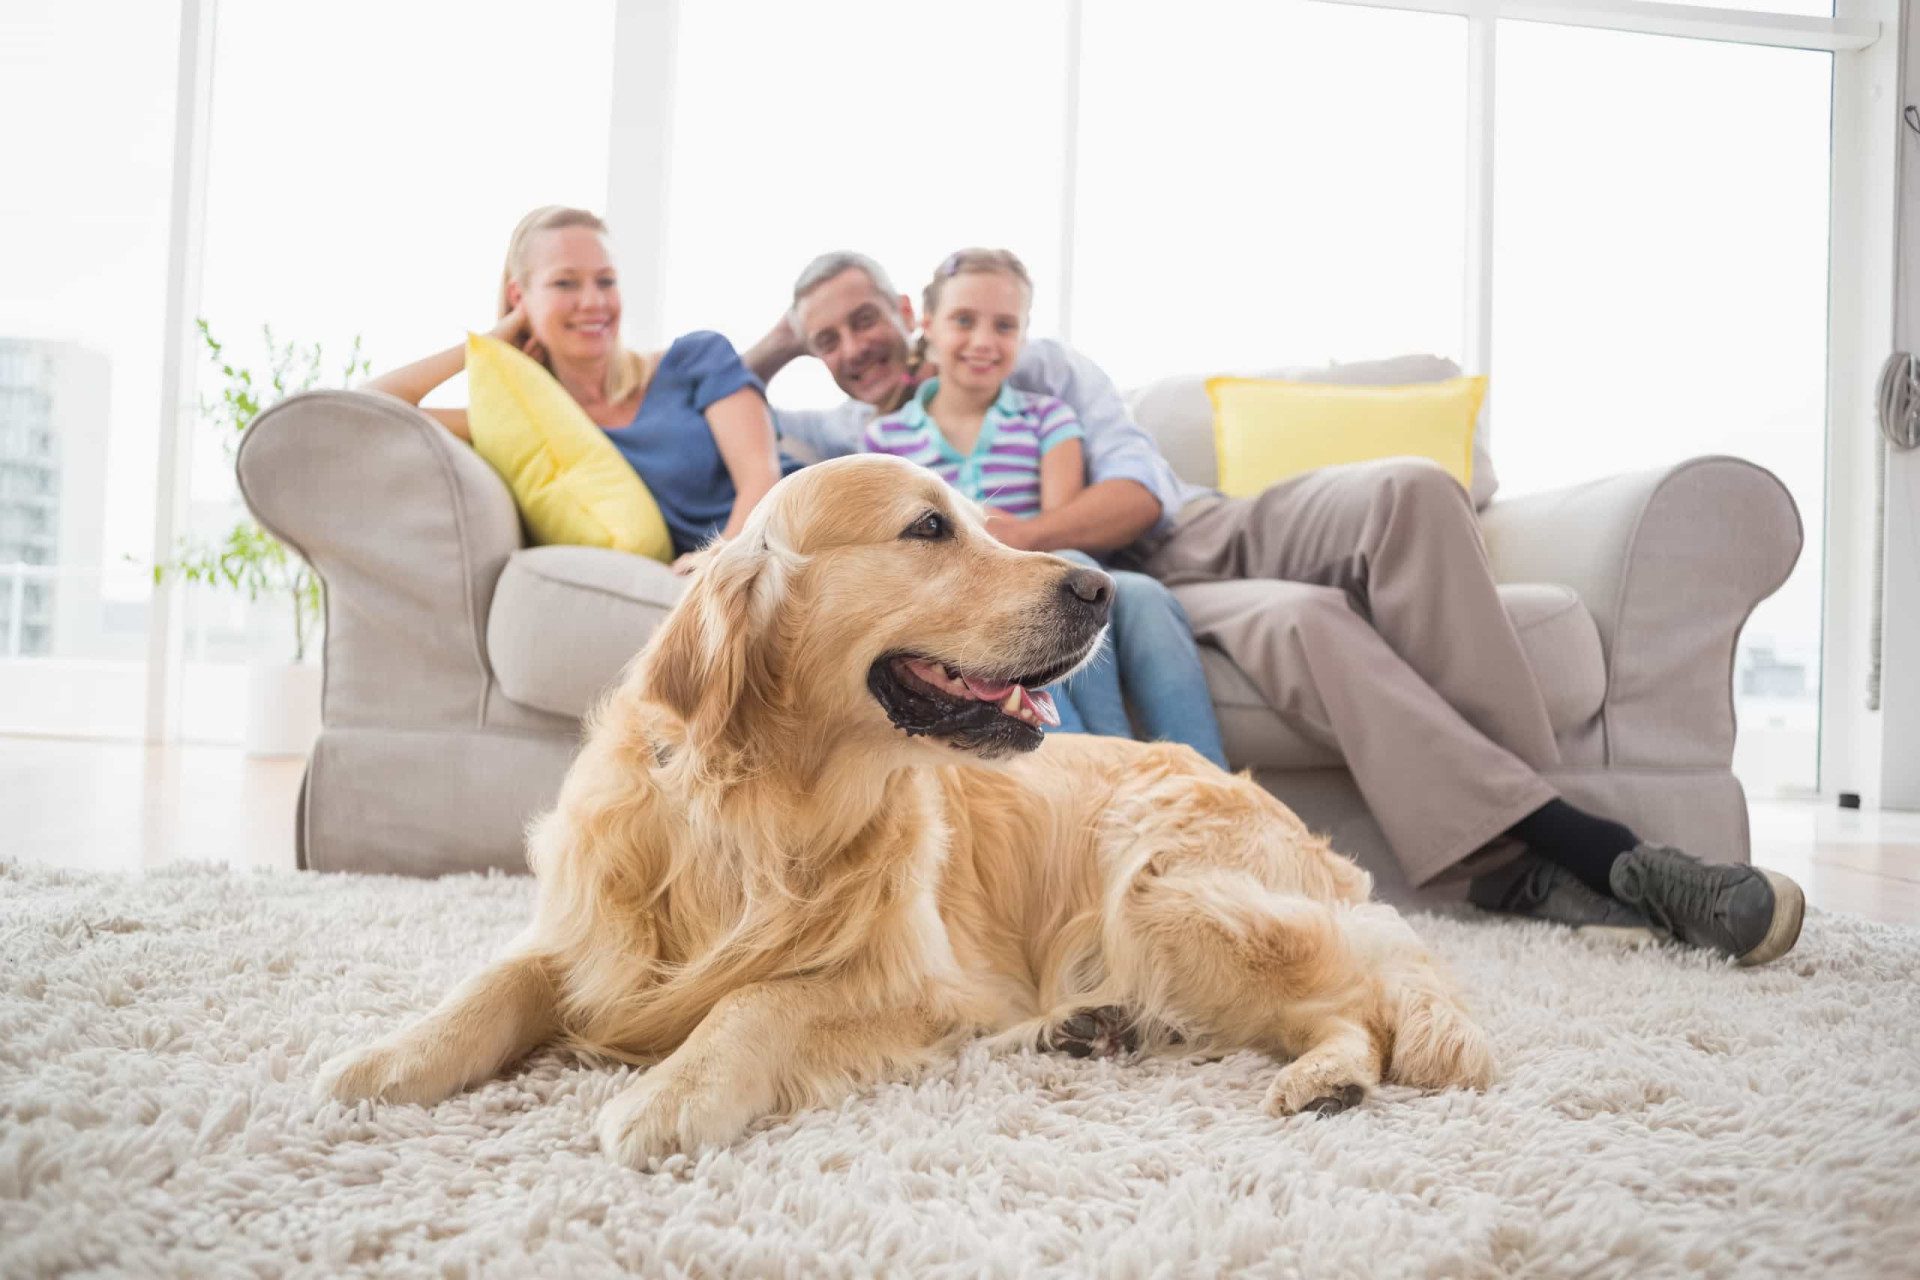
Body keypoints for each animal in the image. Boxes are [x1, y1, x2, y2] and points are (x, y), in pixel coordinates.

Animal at [318, 454, 1497, 1166]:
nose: (1099, 588)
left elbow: (762, 1000)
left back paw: (1328, 1075)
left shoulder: (903, 979)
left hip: (1163, 889)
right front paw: (388, 1059)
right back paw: (1082, 1026)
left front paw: (671, 1093)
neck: (765, 808)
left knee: (1363, 1001)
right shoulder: (588, 932)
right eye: (930, 527)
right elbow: (497, 981)